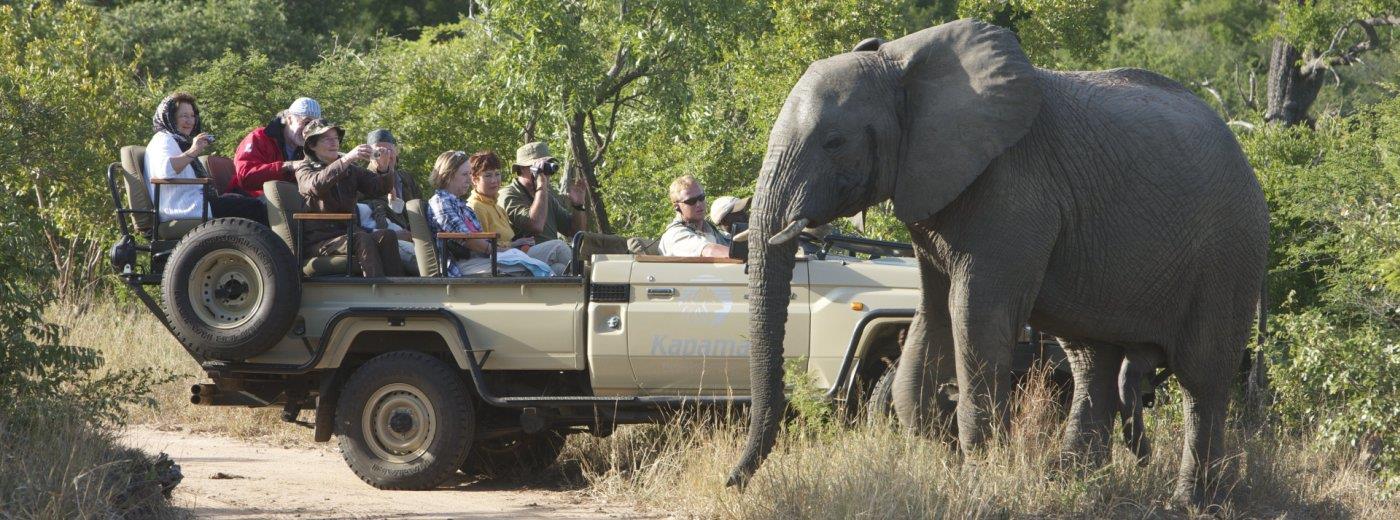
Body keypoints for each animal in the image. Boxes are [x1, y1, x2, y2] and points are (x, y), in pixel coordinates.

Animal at [728, 17, 1276, 510]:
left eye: (834, 142)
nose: (733, 482)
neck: (903, 64)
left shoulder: (1011, 189)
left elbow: (975, 315)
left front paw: (979, 480)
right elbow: (932, 316)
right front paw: (941, 450)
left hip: (1230, 252)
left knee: (1201, 376)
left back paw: (1192, 501)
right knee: (1092, 363)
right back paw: (1075, 485)